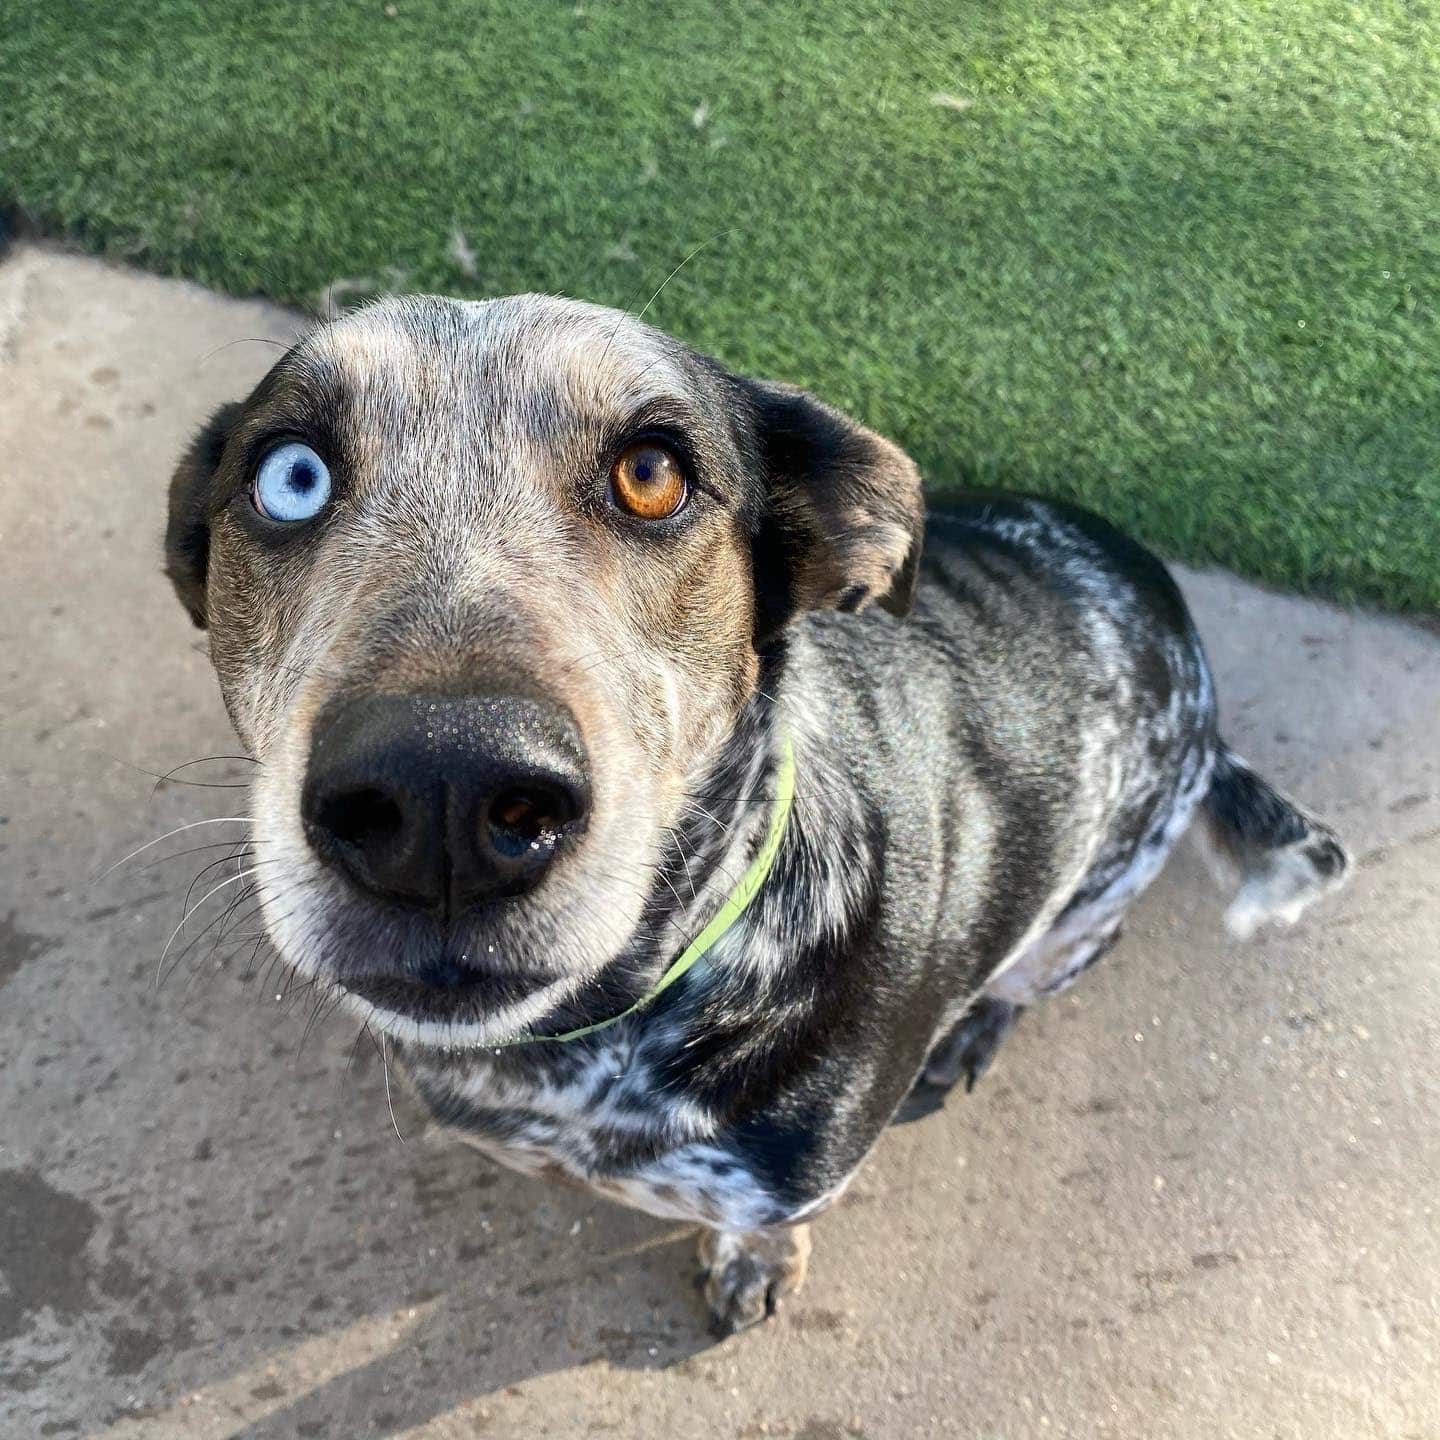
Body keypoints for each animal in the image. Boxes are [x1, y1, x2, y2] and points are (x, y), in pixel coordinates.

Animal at [168, 295, 1347, 1336]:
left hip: (1083, 914)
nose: (440, 796)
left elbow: (770, 1222)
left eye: (653, 474)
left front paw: (755, 1265)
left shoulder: (789, 1180)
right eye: (291, 476)